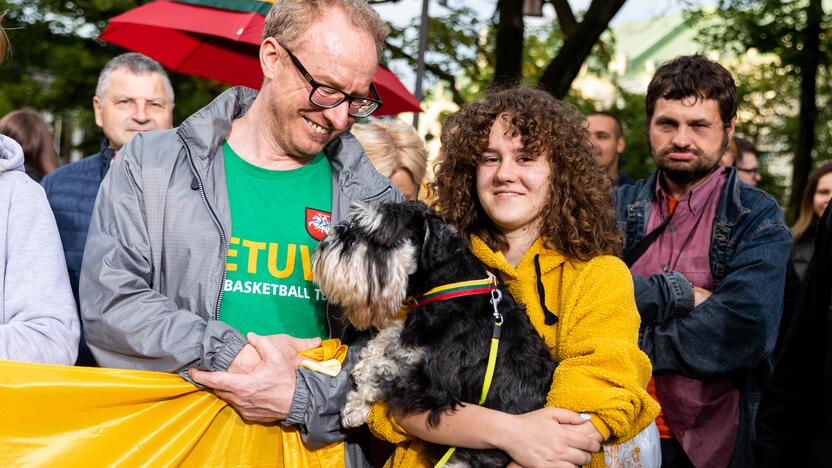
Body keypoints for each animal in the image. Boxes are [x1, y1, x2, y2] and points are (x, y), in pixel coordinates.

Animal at [316, 201, 556, 468]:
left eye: (378, 236)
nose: (327, 241)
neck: (449, 288)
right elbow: (395, 333)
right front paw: (371, 354)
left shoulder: (432, 385)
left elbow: (385, 370)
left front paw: (356, 404)